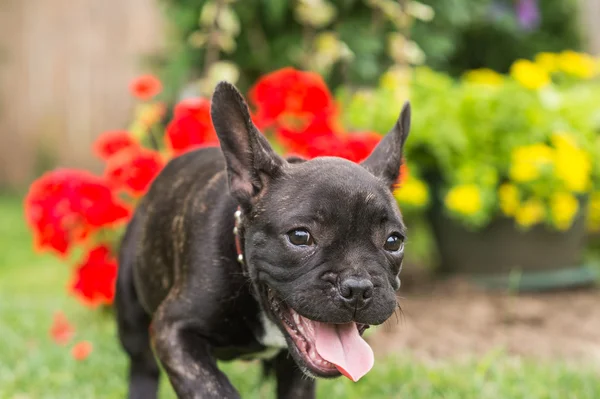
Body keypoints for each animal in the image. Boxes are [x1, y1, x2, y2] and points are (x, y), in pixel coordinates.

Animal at [115, 82, 410, 399]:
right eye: (300, 237)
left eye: (394, 242)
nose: (357, 287)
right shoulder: (173, 329)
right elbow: (211, 386)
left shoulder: (297, 376)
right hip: (130, 304)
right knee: (142, 362)